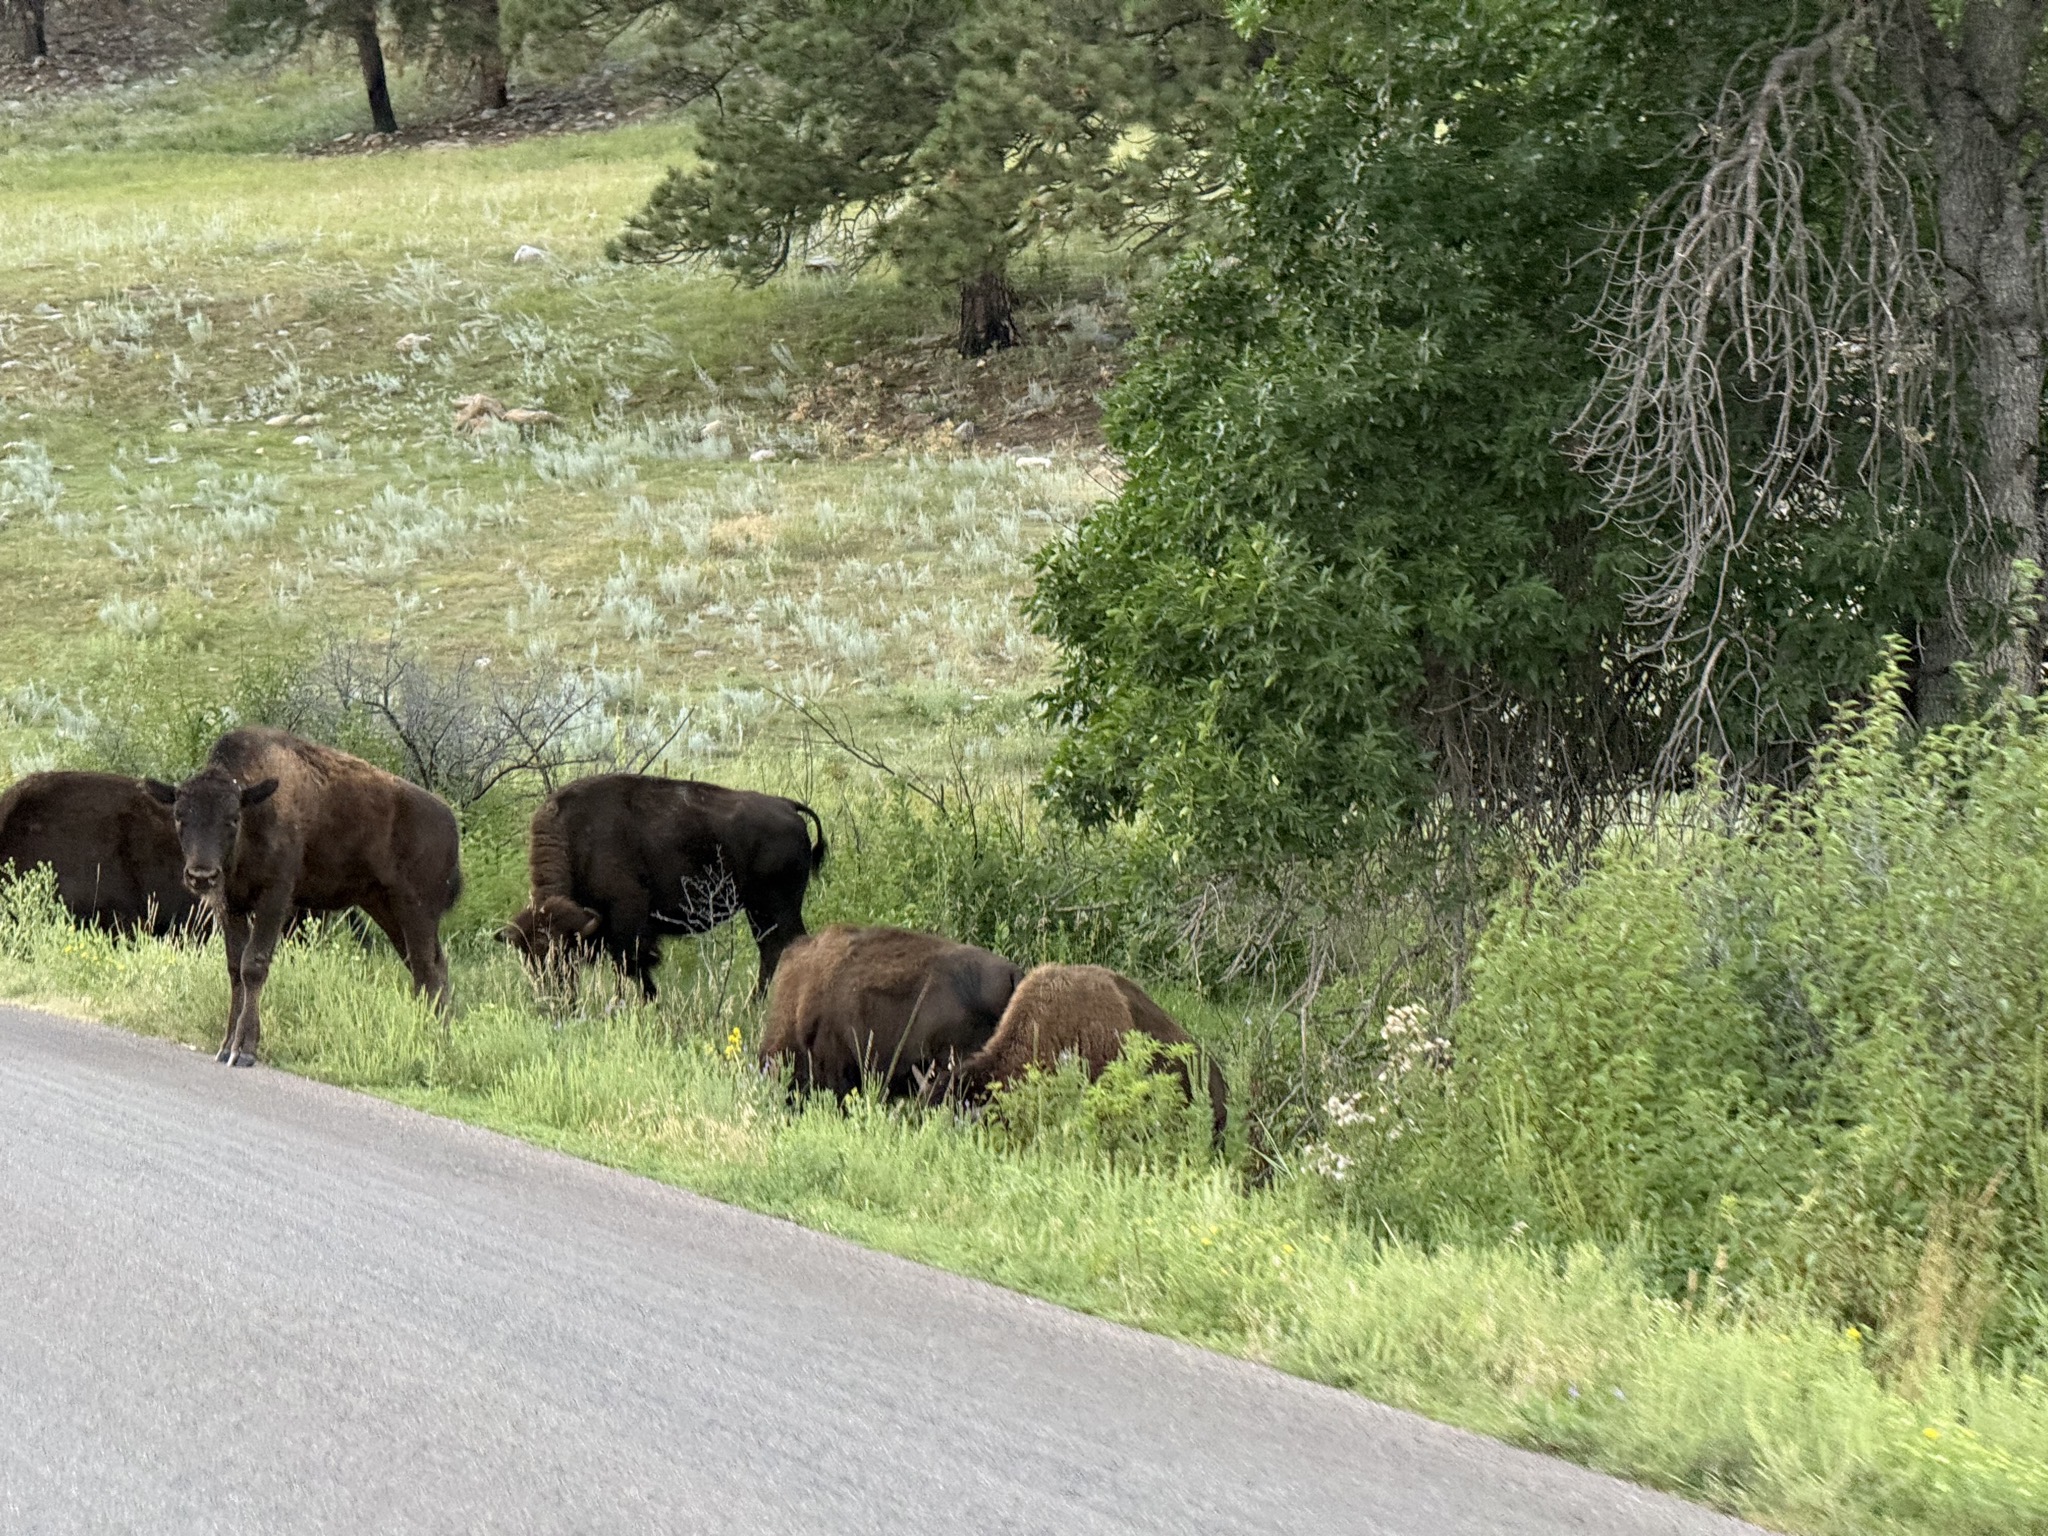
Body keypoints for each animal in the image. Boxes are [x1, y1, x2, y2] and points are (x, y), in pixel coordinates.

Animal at [148, 728, 463, 1066]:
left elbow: (253, 965)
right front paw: (225, 1046)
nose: (201, 875)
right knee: (428, 969)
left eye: (232, 818)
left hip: (416, 911)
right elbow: (235, 969)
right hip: (385, 909)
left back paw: (434, 1042)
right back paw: (437, 1040)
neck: (256, 811)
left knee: (427, 970)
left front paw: (244, 1050)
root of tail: (450, 822)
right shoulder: (230, 905)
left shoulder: (274, 898)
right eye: (180, 816)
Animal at [499, 774, 826, 999]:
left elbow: (632, 967)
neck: (577, 842)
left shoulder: (627, 923)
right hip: (760, 912)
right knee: (771, 951)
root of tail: (787, 805)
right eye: (527, 958)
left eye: (563, 954)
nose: (554, 998)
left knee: (785, 947)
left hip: (777, 908)